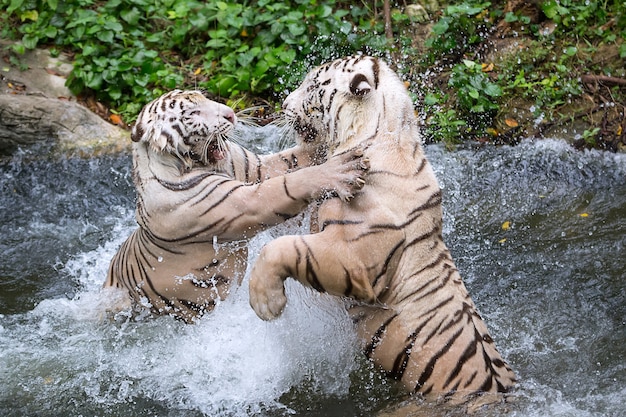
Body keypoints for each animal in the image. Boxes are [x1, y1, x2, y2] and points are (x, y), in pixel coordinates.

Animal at [105, 88, 368, 322]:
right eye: (193, 113)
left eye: (204, 97)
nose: (231, 114)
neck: (199, 163)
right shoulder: (247, 203)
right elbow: (289, 184)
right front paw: (342, 169)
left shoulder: (257, 168)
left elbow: (294, 157)